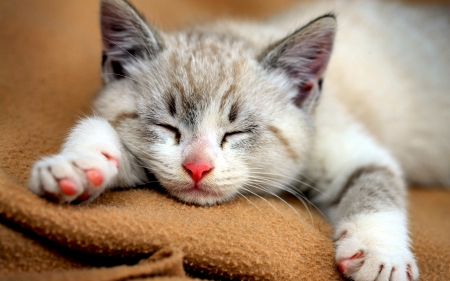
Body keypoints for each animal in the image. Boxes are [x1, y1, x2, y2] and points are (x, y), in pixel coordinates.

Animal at [29, 0, 450, 278]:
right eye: (168, 127)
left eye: (236, 132)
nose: (197, 167)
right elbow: (100, 132)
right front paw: (77, 165)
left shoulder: (347, 145)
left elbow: (375, 183)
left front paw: (381, 256)